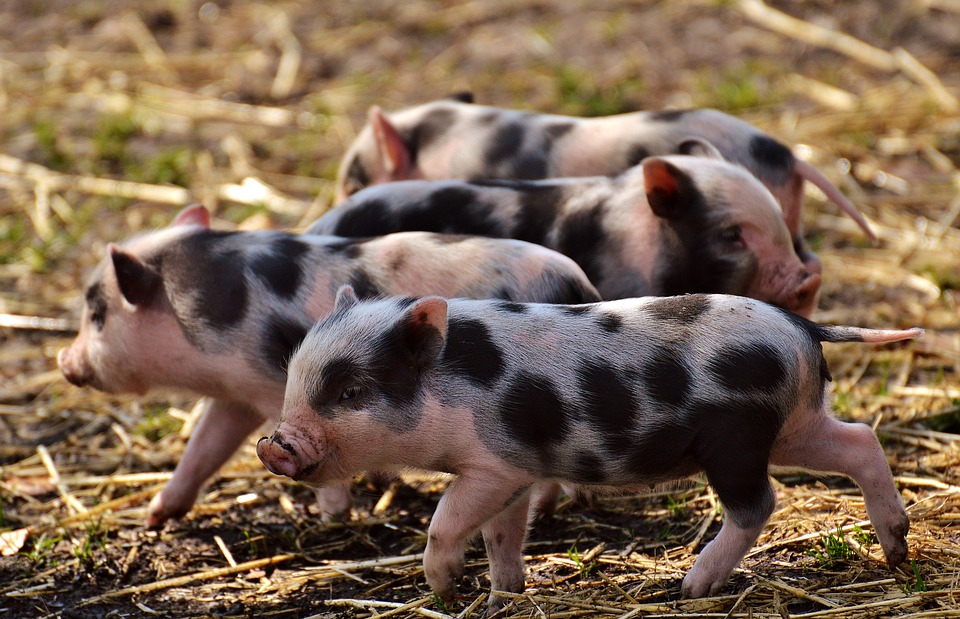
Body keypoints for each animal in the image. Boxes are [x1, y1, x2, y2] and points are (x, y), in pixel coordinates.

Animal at [57, 204, 601, 528]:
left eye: (98, 314)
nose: (65, 361)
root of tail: (578, 284)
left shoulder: (269, 384)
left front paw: (335, 516)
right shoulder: (236, 394)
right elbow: (203, 449)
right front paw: (156, 516)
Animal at [259, 286, 918, 610]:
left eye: (350, 391)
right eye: (295, 378)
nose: (274, 446)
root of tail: (801, 327)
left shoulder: (493, 466)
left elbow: (447, 522)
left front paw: (446, 589)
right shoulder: (518, 472)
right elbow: (503, 534)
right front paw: (504, 596)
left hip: (736, 439)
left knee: (758, 504)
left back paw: (690, 590)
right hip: (795, 424)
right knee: (861, 441)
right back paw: (896, 552)